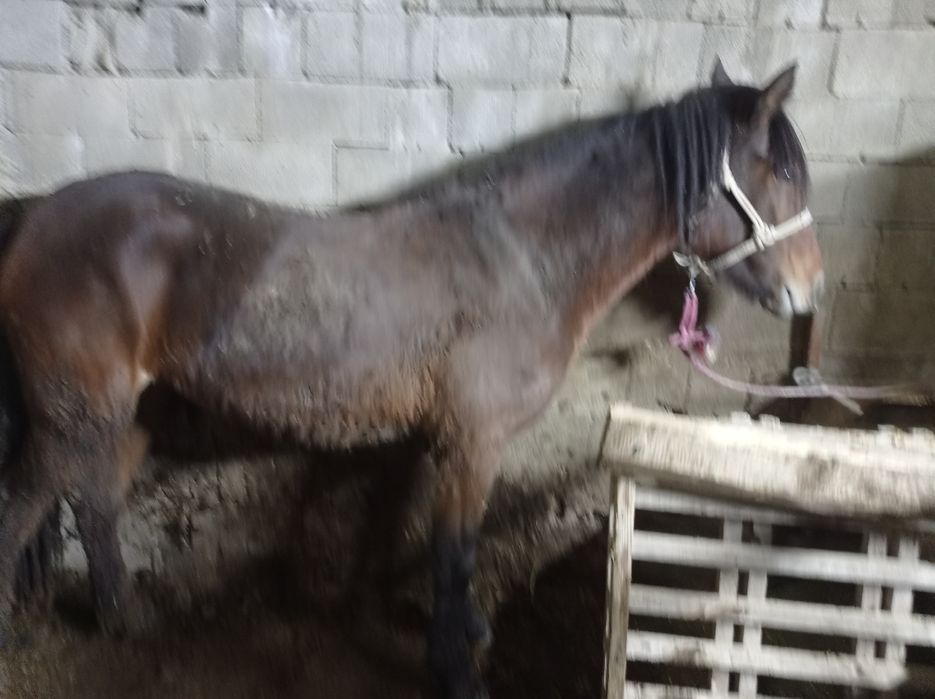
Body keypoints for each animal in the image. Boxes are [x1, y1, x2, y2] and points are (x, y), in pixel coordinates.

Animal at [0, 59, 822, 699]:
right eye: (780, 171)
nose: (808, 290)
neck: (525, 259)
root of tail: (36, 217)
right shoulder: (471, 443)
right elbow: (452, 556)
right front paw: (455, 671)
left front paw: (468, 637)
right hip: (73, 416)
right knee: (27, 506)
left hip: (122, 415)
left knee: (95, 506)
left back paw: (123, 619)